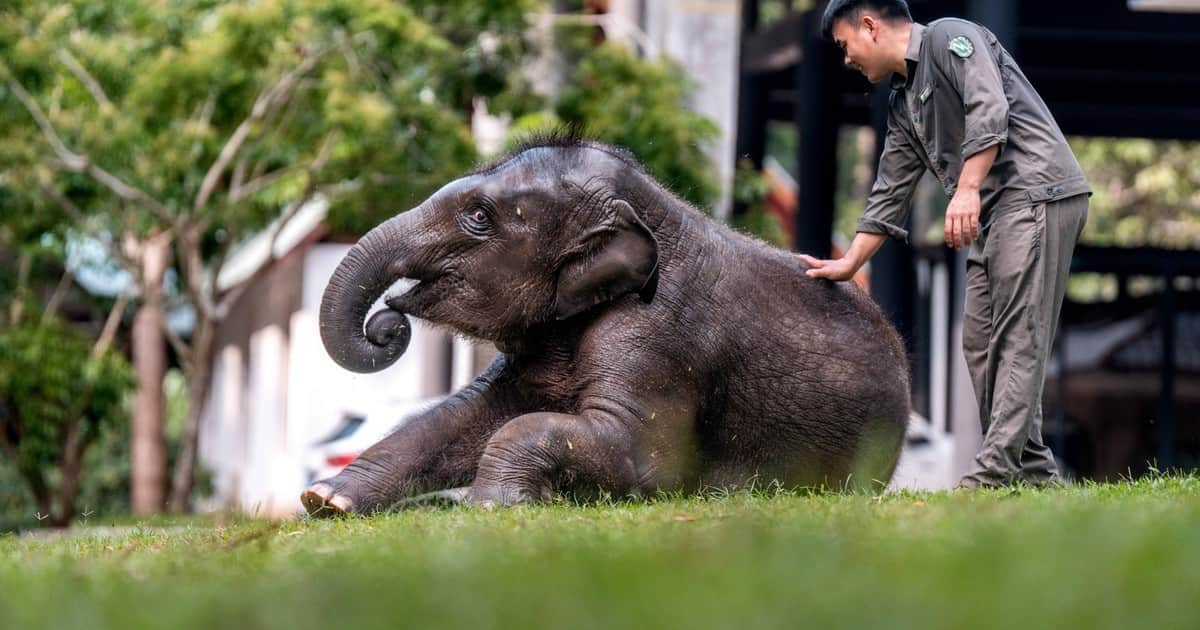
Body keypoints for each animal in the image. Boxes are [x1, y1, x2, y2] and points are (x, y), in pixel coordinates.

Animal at [301, 133, 910, 516]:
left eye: (478, 216)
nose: (387, 322)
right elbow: (462, 418)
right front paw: (326, 502)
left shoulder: (657, 336)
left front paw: (493, 505)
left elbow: (644, 460)